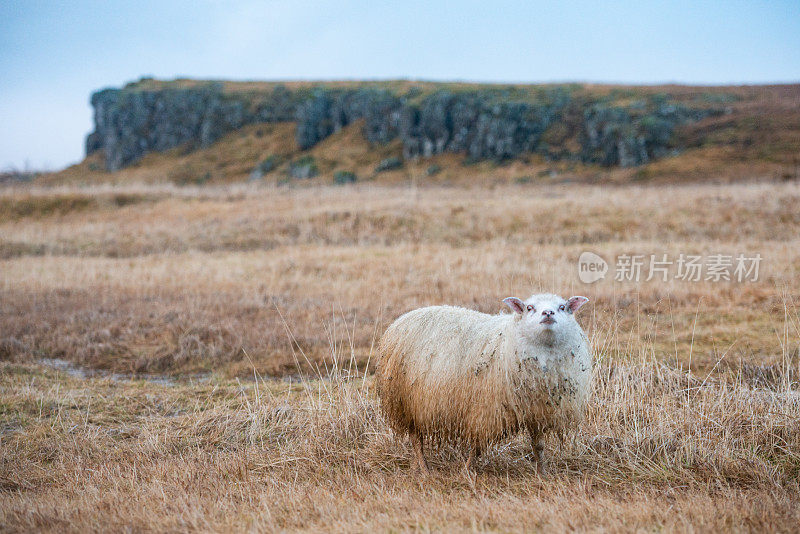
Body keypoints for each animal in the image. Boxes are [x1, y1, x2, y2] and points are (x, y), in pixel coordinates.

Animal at [374, 296, 588, 476]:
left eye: (562, 307)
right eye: (529, 308)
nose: (548, 313)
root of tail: (401, 319)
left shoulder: (538, 410)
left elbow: (538, 445)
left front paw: (542, 473)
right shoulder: (486, 409)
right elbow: (477, 445)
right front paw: (467, 471)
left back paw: (415, 467)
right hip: (406, 402)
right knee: (416, 439)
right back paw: (424, 469)